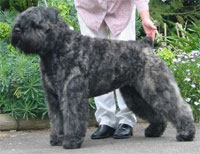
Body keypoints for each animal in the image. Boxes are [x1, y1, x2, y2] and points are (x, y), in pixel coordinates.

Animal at [11, 7, 195, 149]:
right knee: (154, 111)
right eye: (20, 19)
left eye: (35, 22)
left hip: (154, 86)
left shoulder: (71, 94)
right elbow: (57, 119)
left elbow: (72, 117)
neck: (58, 47)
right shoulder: (53, 97)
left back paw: (186, 134)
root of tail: (146, 44)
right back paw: (154, 130)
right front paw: (57, 138)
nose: (17, 30)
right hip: (135, 93)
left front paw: (71, 141)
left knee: (179, 108)